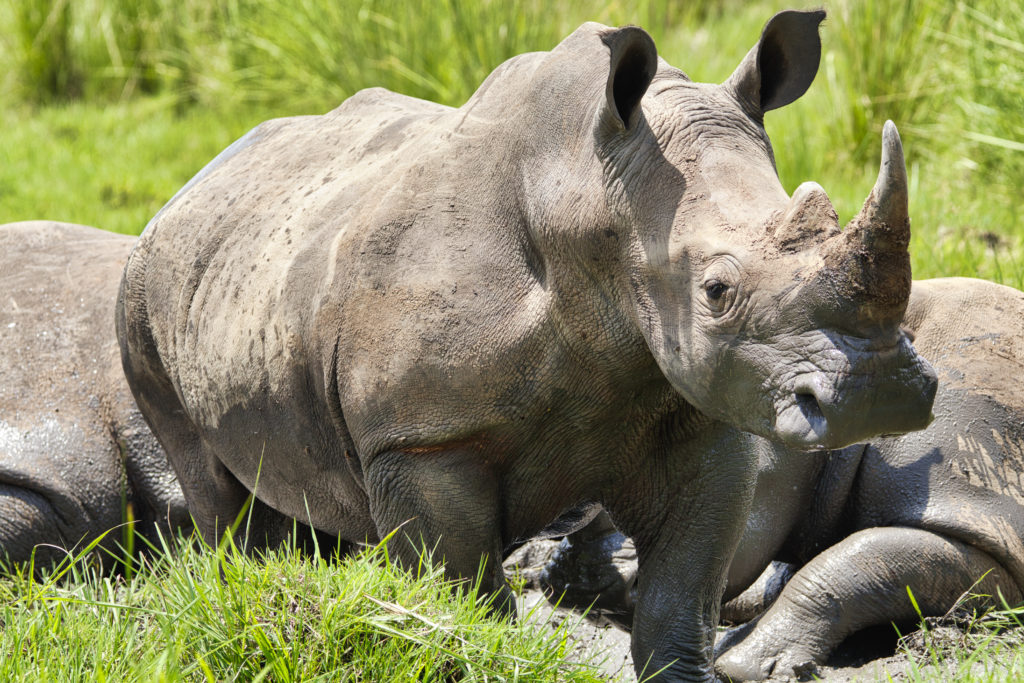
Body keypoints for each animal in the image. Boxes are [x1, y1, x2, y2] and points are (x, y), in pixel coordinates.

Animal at [116, 11, 937, 680]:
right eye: (716, 290)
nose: (878, 398)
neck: (593, 200)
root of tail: (197, 179)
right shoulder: (422, 439)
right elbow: (470, 598)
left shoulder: (707, 417)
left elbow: (677, 603)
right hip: (140, 291)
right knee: (216, 487)